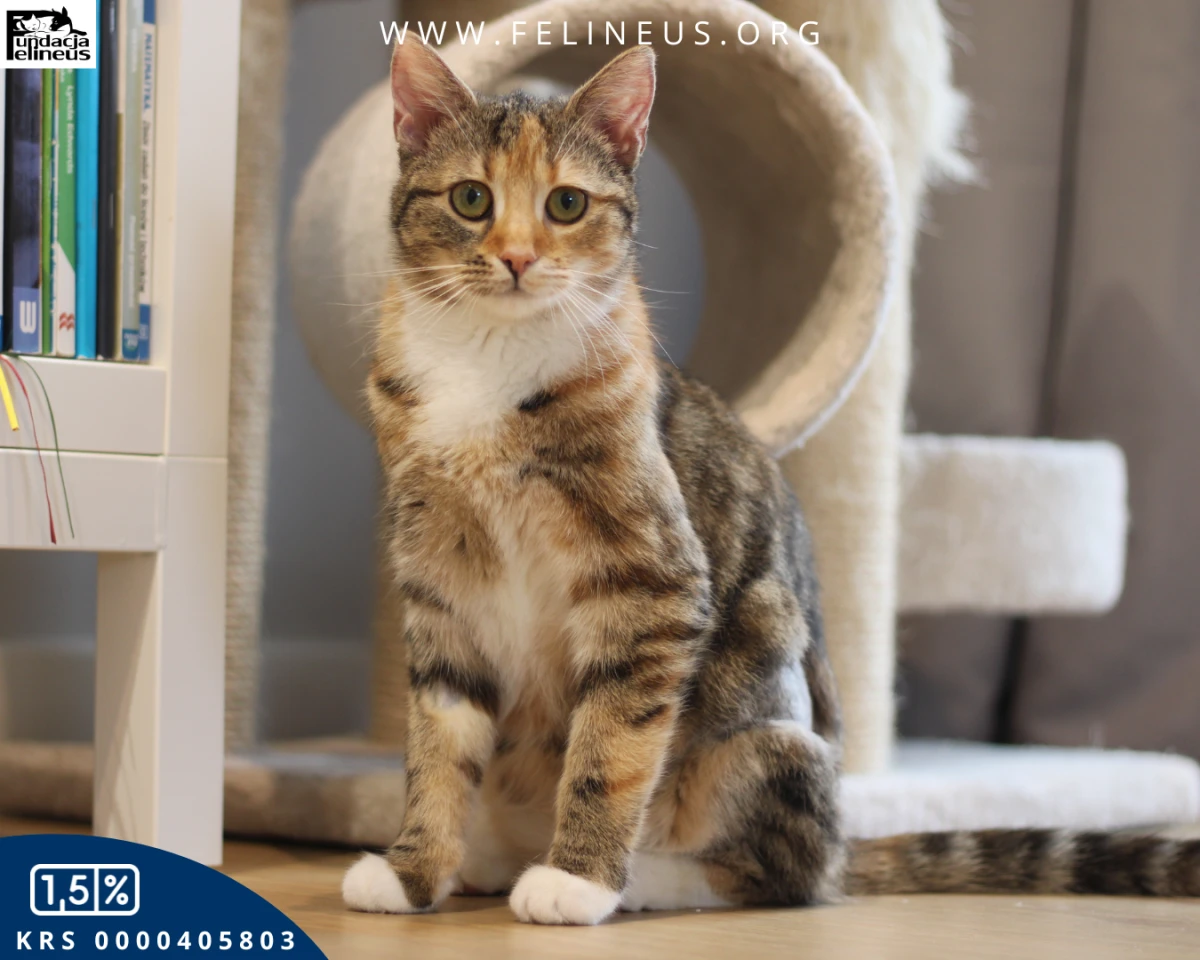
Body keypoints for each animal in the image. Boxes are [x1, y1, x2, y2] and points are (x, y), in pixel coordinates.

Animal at [342, 39, 1200, 925]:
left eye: (568, 203)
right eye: (471, 198)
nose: (516, 258)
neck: (487, 365)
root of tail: (846, 835)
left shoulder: (653, 579)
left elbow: (612, 741)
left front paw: (578, 880)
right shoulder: (440, 578)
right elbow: (437, 740)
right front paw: (413, 871)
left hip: (759, 714)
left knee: (787, 871)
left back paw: (637, 879)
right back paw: (491, 858)